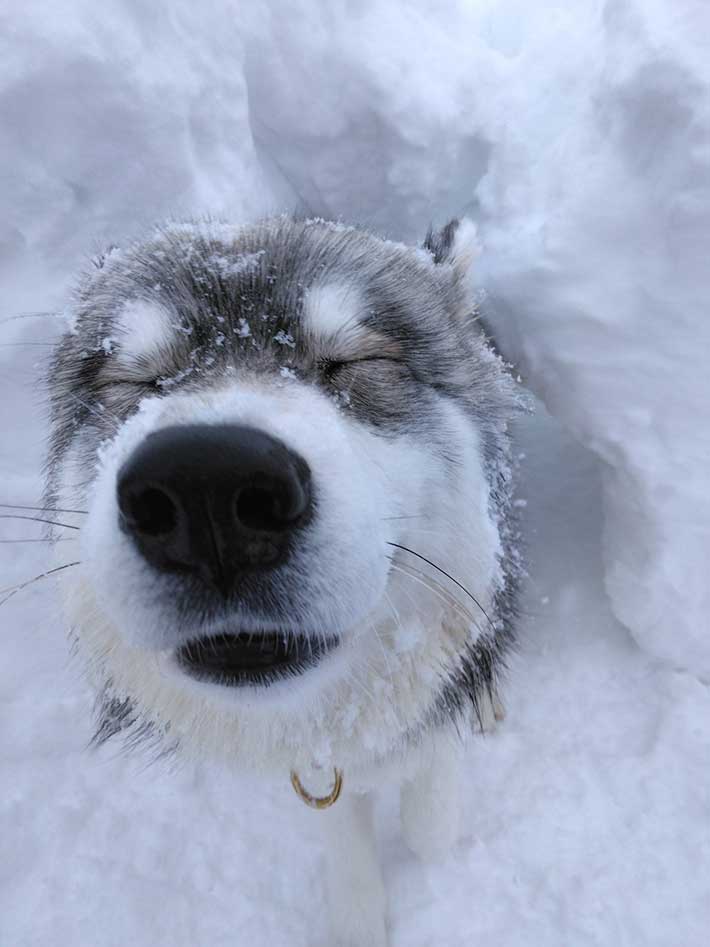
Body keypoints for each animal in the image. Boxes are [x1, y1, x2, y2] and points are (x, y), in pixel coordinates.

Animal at [46, 217, 524, 947]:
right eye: (139, 379)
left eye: (352, 362)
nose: (206, 487)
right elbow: (340, 826)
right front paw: (358, 913)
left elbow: (432, 794)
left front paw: (435, 839)